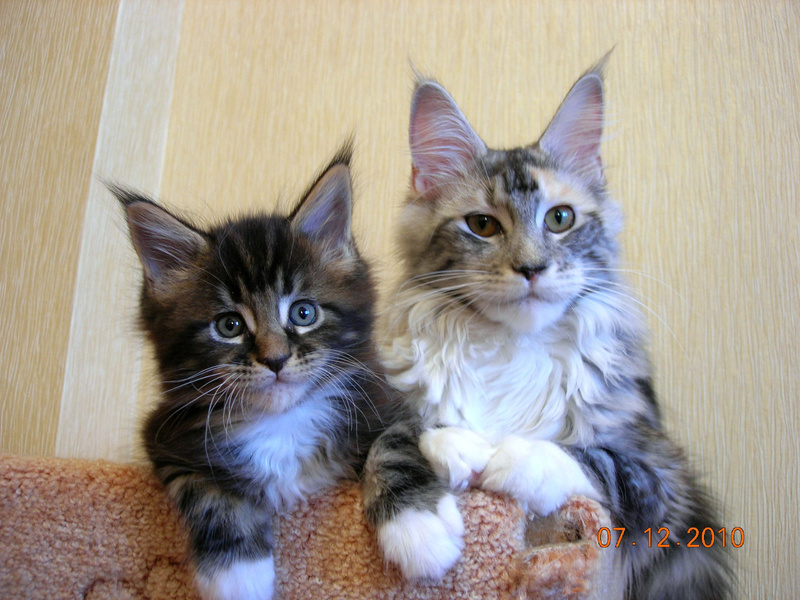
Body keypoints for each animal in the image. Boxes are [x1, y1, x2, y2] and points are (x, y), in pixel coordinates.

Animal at [115, 147, 410, 600]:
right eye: (229, 325)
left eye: (303, 313)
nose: (275, 359)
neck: (281, 423)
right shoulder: (167, 438)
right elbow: (211, 494)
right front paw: (238, 574)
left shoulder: (387, 400)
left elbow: (394, 445)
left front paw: (419, 533)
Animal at [365, 61, 733, 599]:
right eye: (482, 225)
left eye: (560, 218)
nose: (532, 268)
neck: (513, 346)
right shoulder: (374, 411)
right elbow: (391, 440)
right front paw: (420, 525)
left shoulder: (669, 483)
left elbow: (594, 459)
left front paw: (510, 459)